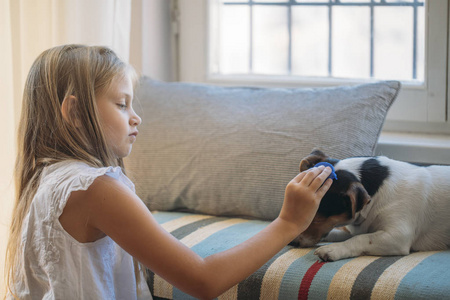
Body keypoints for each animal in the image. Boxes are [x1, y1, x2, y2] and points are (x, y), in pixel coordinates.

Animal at [292, 149, 450, 262]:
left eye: (317, 219)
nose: (293, 241)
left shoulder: (398, 236)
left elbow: (361, 239)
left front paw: (333, 249)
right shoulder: (350, 230)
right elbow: (338, 233)